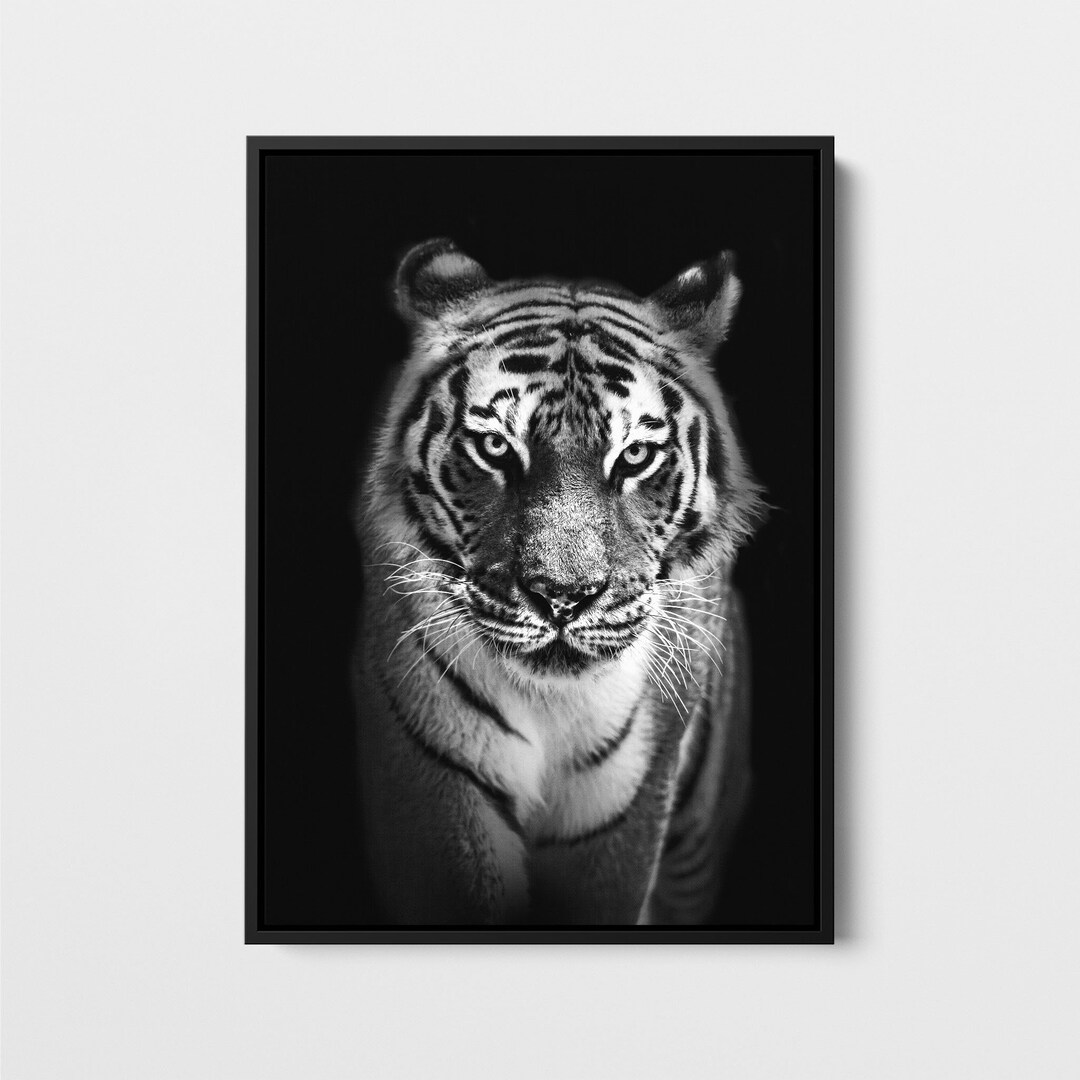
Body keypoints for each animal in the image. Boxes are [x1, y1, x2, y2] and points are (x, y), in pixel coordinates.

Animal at [352, 238, 765, 925]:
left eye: (634, 456)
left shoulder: (621, 811)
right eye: (495, 448)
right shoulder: (436, 779)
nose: (562, 597)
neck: (552, 705)